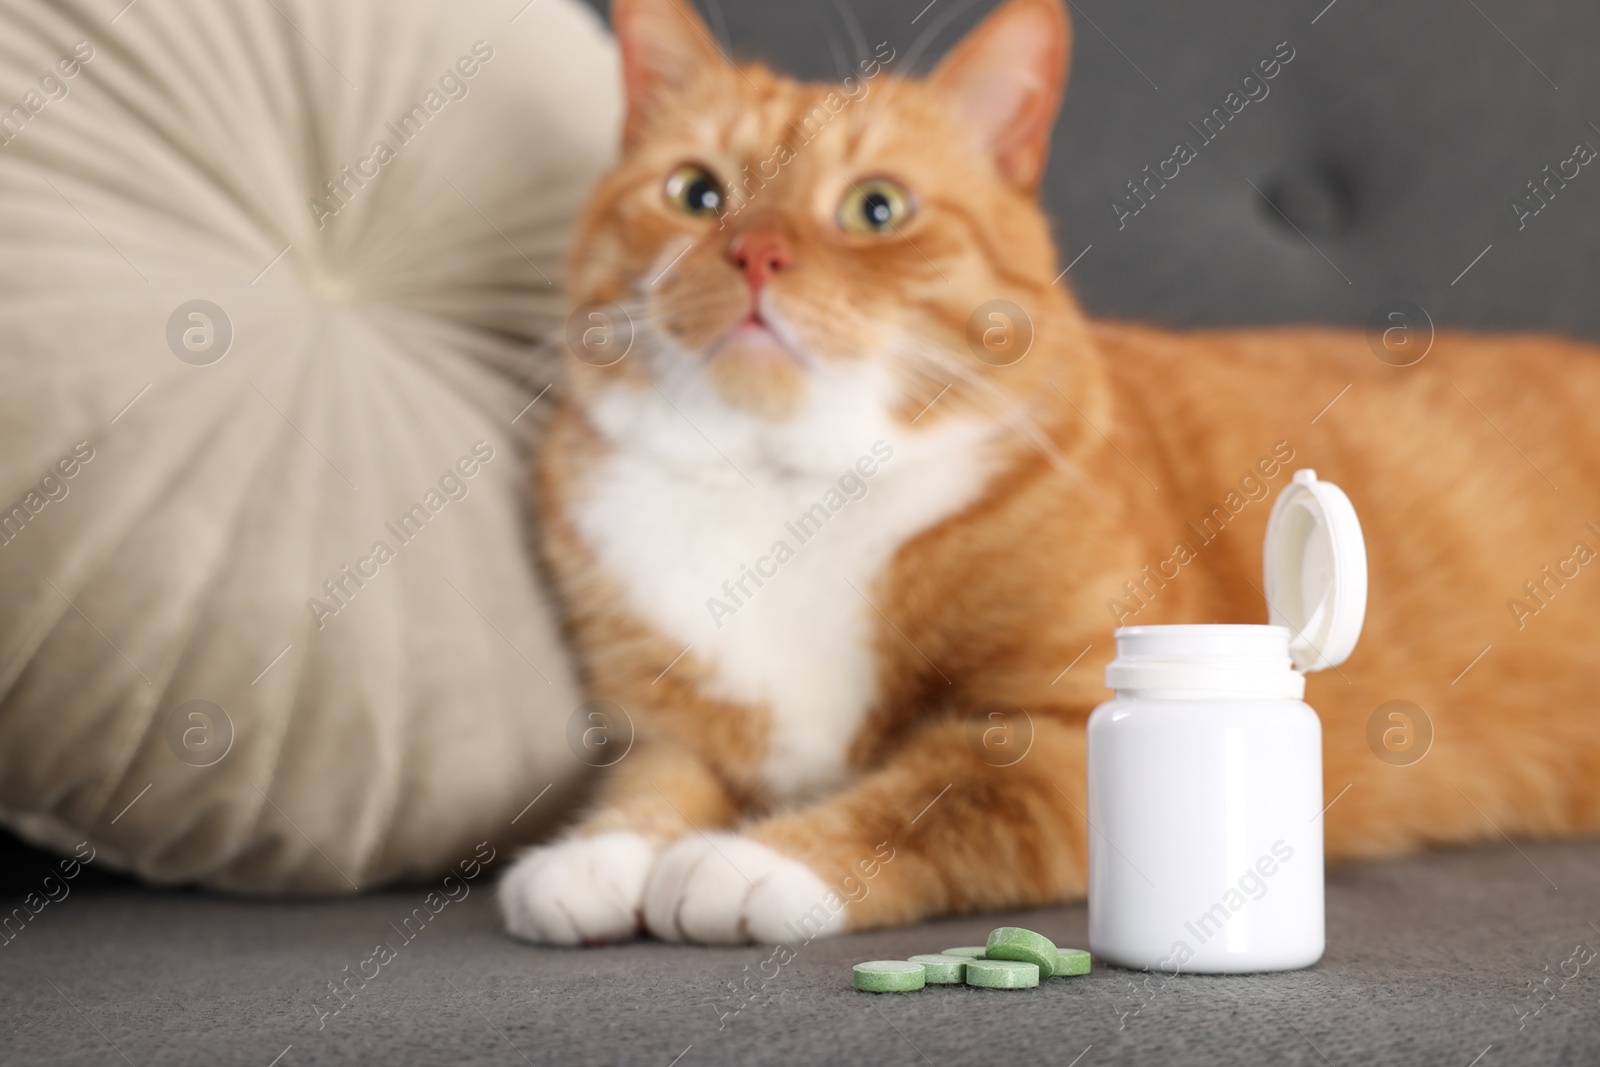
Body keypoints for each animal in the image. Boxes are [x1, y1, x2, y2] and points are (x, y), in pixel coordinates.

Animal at [499, 0, 1600, 947]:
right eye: (697, 194)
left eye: (876, 208)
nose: (757, 252)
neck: (786, 491)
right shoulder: (661, 724)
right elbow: (654, 780)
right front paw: (598, 853)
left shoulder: (1052, 735)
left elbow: (937, 792)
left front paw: (756, 860)